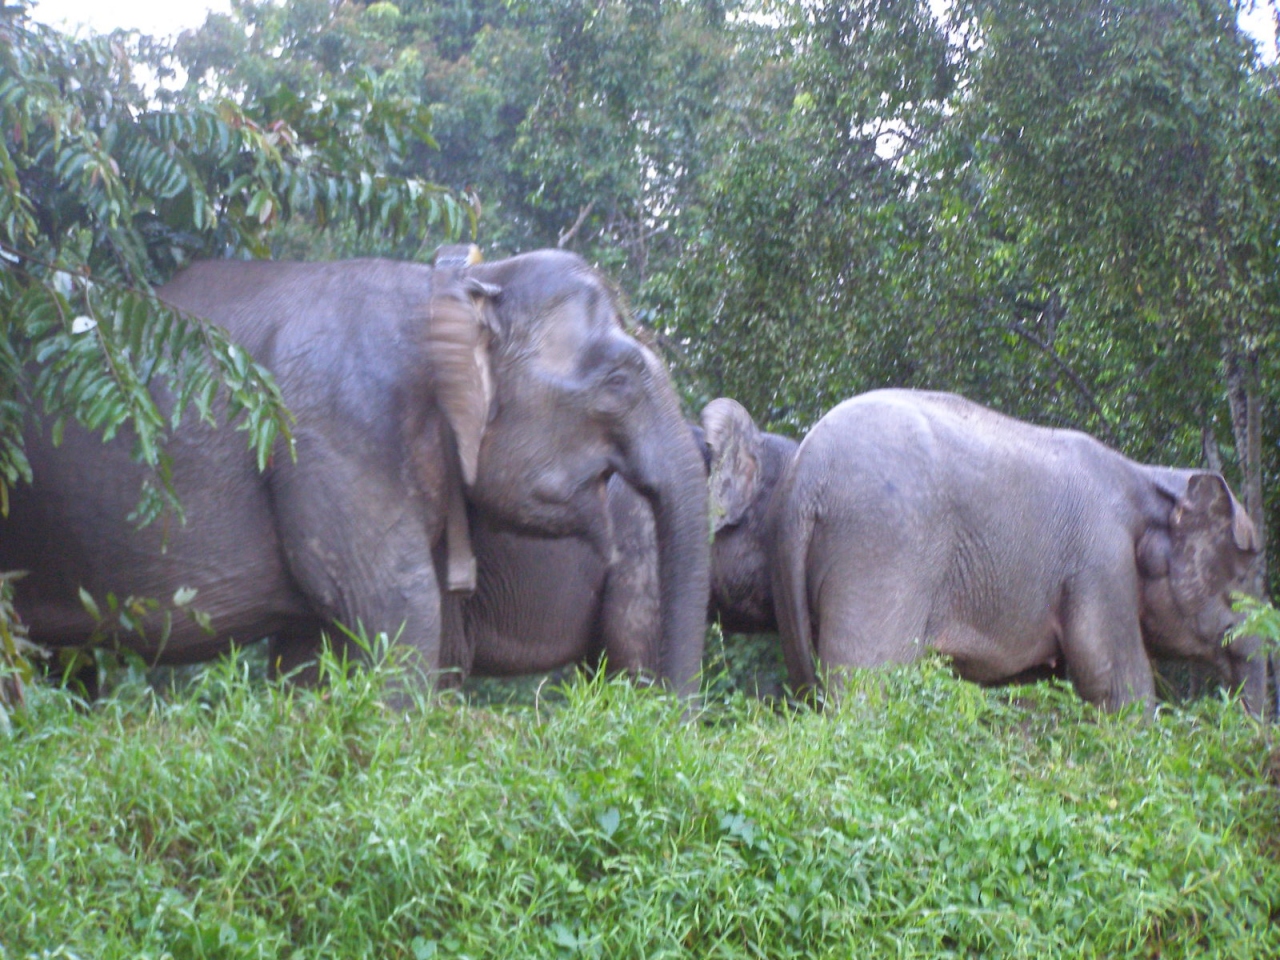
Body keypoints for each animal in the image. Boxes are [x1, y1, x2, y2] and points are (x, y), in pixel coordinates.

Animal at [762, 389, 1264, 716]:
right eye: (1241, 579)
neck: (1147, 474)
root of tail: (808, 472)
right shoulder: (1102, 558)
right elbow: (1112, 676)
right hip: (882, 549)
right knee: (867, 679)